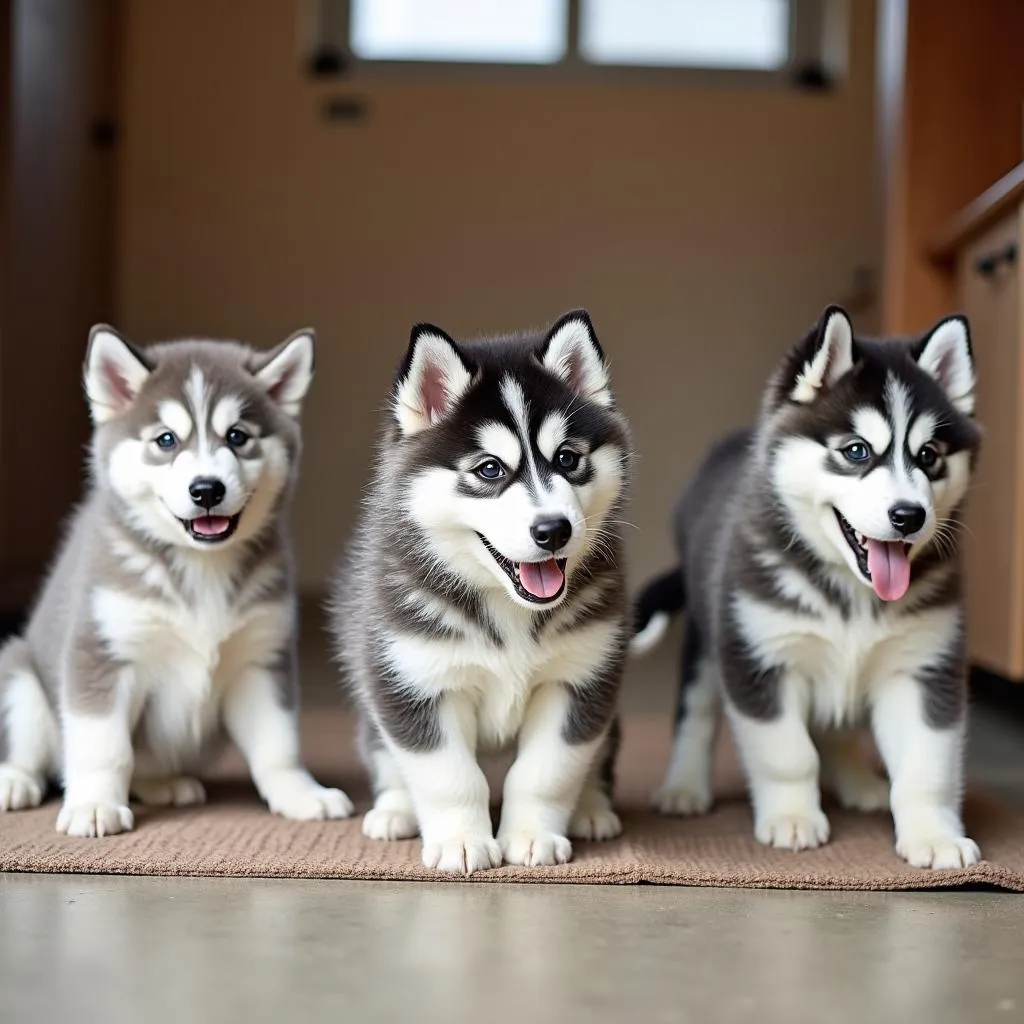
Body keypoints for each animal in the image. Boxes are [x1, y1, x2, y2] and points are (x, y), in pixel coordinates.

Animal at [0, 323, 352, 835]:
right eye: (166, 440)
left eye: (237, 436)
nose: (206, 489)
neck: (200, 566)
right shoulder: (101, 652)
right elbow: (103, 748)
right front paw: (95, 805)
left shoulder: (260, 660)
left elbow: (278, 746)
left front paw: (301, 795)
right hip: (19, 677)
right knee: (31, 750)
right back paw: (15, 782)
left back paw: (163, 785)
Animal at [331, 309, 626, 872]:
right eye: (490, 469)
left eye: (567, 459)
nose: (553, 530)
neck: (506, 606)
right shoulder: (414, 681)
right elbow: (449, 777)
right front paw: (461, 842)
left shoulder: (578, 680)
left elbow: (546, 771)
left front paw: (532, 835)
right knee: (387, 758)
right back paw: (394, 811)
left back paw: (593, 808)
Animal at [630, 305, 983, 872]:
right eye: (856, 451)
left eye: (929, 455)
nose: (909, 516)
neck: (853, 595)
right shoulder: (760, 658)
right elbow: (789, 753)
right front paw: (793, 818)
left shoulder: (924, 667)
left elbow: (927, 765)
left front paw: (934, 835)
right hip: (709, 642)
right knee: (696, 715)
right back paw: (684, 788)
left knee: (838, 728)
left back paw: (859, 784)